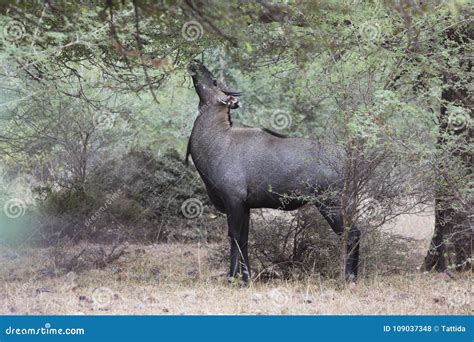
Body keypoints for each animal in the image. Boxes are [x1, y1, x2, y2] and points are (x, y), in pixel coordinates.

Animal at [187, 60, 362, 284]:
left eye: (215, 81)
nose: (196, 62)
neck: (219, 140)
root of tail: (347, 159)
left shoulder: (233, 200)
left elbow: (234, 237)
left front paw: (232, 279)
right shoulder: (245, 205)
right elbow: (244, 239)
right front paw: (246, 278)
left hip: (330, 203)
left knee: (352, 233)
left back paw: (349, 277)